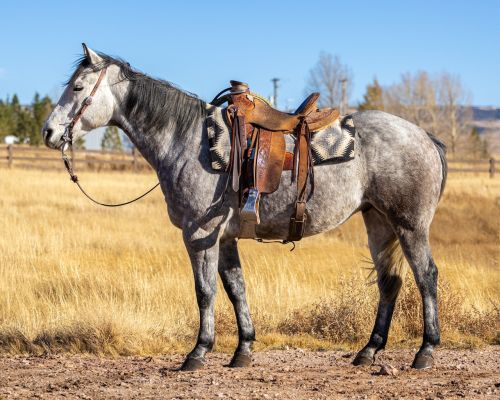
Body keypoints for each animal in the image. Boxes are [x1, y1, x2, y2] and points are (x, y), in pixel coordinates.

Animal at [43, 46, 448, 372]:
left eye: (77, 88)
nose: (49, 132)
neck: (188, 141)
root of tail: (426, 136)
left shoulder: (200, 235)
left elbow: (205, 291)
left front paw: (197, 353)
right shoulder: (224, 238)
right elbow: (236, 288)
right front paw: (243, 351)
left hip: (409, 225)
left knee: (426, 276)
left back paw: (425, 352)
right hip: (378, 222)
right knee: (390, 282)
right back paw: (369, 351)